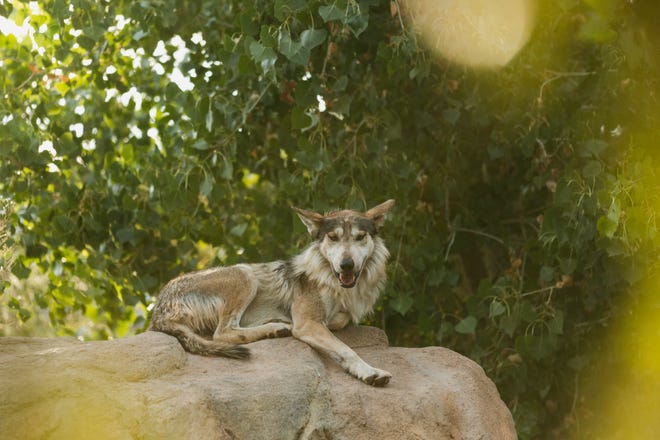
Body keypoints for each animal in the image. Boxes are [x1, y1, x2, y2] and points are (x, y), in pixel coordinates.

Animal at [148, 200, 395, 386]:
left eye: (360, 237)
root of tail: (158, 309)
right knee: (223, 333)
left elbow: (340, 322)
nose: (346, 265)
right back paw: (276, 328)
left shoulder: (332, 317)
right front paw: (371, 372)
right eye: (333, 237)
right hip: (245, 273)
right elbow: (346, 350)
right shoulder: (307, 323)